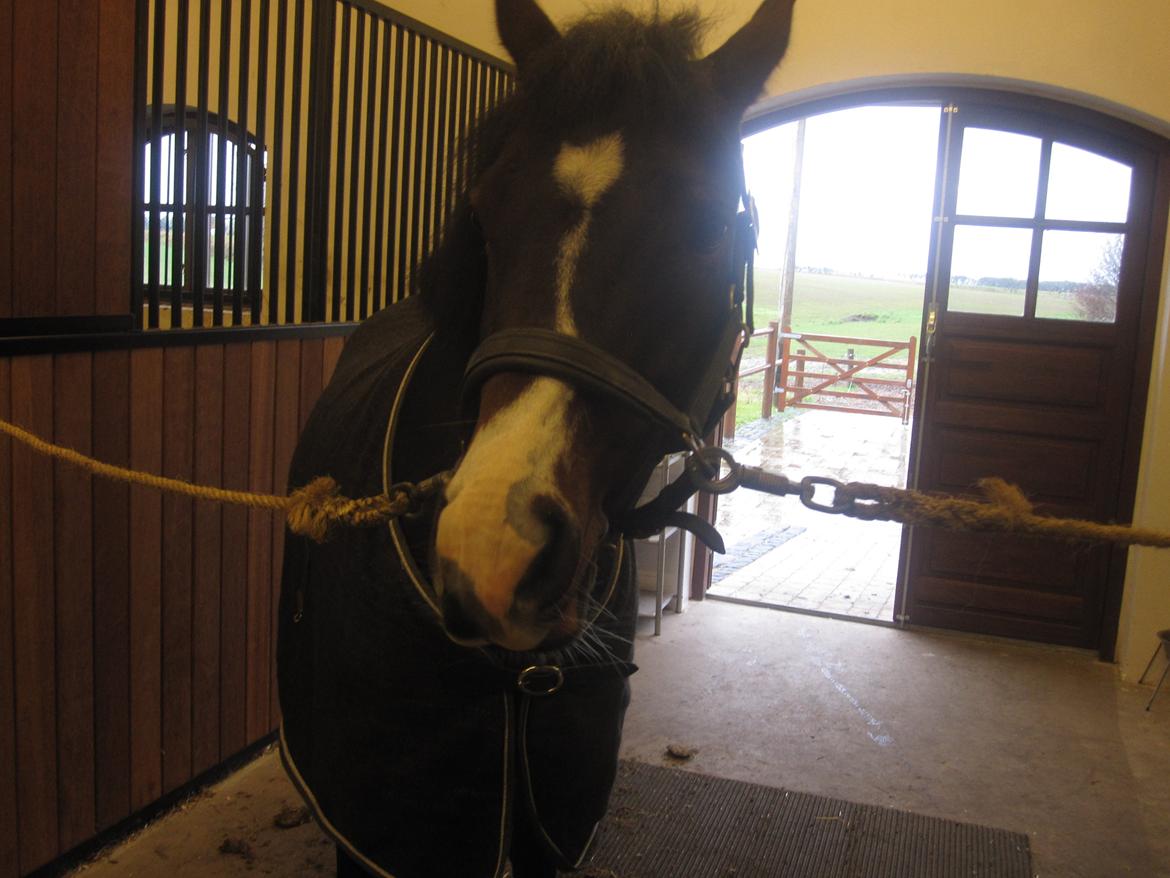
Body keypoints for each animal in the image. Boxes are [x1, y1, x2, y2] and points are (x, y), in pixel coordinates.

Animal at [277, 1, 796, 875]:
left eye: (705, 225)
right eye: (487, 210)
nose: (494, 549)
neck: (509, 682)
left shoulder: (561, 824)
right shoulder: (382, 833)